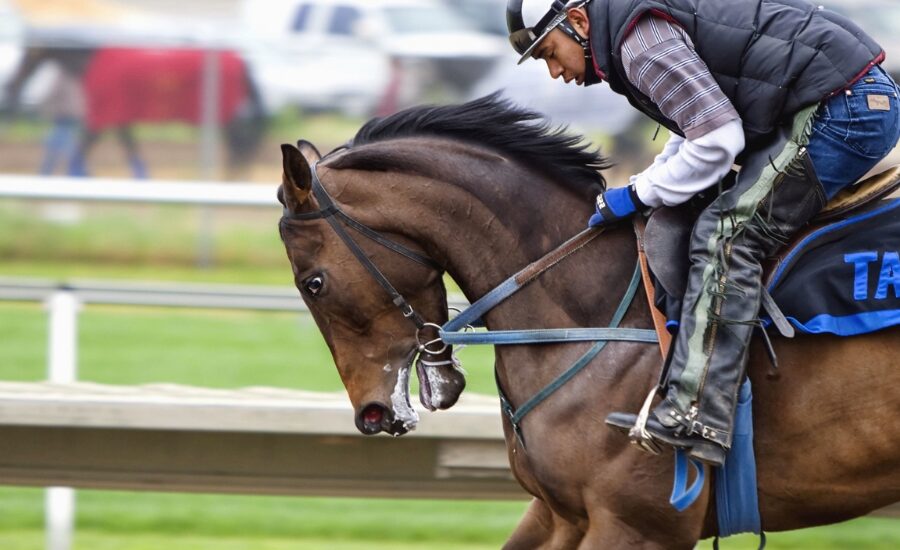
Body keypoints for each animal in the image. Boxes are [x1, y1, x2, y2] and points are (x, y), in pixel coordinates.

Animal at [0, 46, 266, 179]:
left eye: (28, 53)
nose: (11, 86)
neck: (92, 62)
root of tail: (240, 60)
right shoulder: (119, 119)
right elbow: (129, 148)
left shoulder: (103, 117)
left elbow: (81, 149)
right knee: (241, 143)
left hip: (225, 116)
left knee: (240, 143)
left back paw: (234, 176)